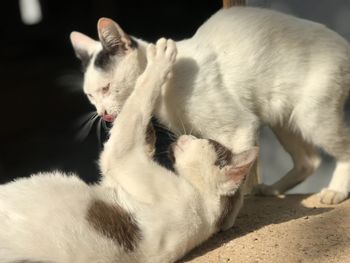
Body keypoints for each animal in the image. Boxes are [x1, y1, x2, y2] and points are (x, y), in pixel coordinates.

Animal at [0, 39, 258, 263]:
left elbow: (137, 104)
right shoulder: (115, 180)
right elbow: (138, 124)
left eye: (206, 141)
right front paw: (149, 134)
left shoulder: (122, 158)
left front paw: (159, 59)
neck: (204, 202)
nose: (190, 135)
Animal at [69, 7, 350, 213]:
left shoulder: (241, 127)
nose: (103, 113)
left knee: (342, 149)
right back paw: (272, 189)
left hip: (312, 116)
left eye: (106, 88)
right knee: (309, 160)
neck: (166, 88)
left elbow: (237, 170)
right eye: (90, 96)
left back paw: (335, 191)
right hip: (282, 118)